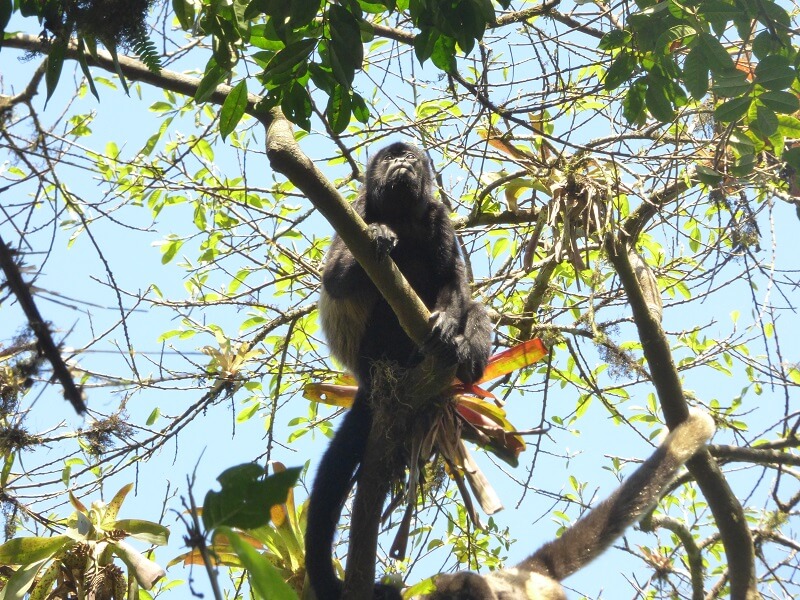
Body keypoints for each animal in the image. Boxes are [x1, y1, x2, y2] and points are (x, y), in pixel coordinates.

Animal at [306, 142, 494, 600]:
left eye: (409, 157)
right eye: (391, 158)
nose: (404, 163)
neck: (403, 214)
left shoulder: (437, 215)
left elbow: (454, 280)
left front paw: (449, 323)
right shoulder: (355, 210)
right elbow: (334, 278)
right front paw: (381, 237)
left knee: (473, 305)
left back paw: (465, 355)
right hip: (372, 347)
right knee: (381, 298)